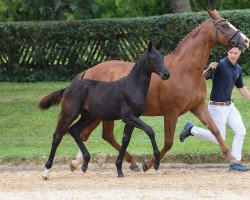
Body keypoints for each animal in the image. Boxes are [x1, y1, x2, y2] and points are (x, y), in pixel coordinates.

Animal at [39, 41, 170, 178]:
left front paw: (119, 169)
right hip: (69, 114)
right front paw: (155, 163)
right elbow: (150, 131)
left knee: (74, 130)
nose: (166, 74)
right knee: (57, 136)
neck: (133, 86)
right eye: (152, 58)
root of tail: (67, 88)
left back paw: (85, 163)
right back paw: (46, 172)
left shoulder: (133, 118)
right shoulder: (128, 116)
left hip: (89, 116)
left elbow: (125, 140)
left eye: (162, 57)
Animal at [69, 9, 250, 172]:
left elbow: (215, 130)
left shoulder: (198, 107)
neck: (185, 70)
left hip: (98, 114)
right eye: (225, 25)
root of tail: (88, 71)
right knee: (99, 135)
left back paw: (84, 163)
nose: (246, 40)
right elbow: (168, 142)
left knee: (93, 134)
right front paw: (149, 163)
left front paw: (232, 158)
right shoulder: (171, 113)